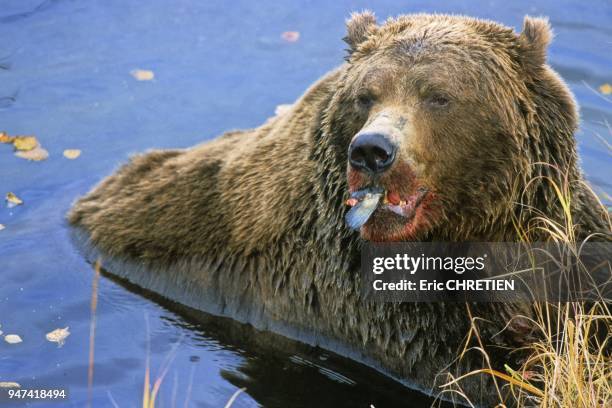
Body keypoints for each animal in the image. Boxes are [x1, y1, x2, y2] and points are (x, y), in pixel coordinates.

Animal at [69, 12, 608, 408]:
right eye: (366, 95)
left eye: (439, 95)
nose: (372, 150)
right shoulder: (367, 304)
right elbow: (480, 376)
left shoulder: (563, 236)